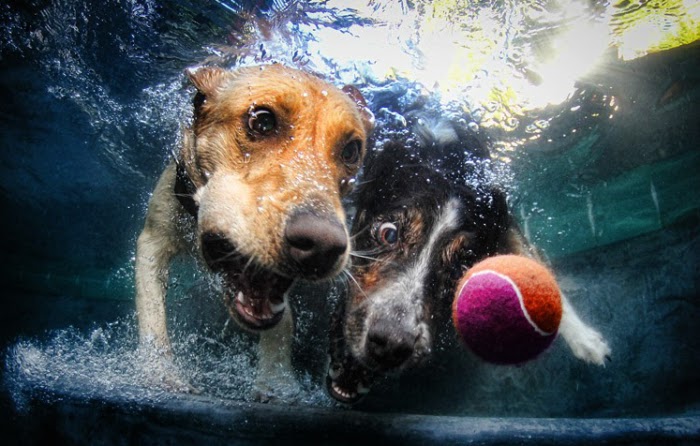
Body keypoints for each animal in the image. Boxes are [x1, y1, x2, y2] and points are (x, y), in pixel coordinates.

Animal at [134, 63, 373, 395]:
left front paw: (277, 382)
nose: (323, 247)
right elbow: (152, 314)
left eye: (351, 150)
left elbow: (283, 324)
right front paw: (159, 372)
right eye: (262, 122)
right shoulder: (153, 240)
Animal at [325, 114, 611, 404]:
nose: (391, 344)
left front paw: (585, 339)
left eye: (459, 268)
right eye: (389, 234)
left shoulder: (505, 227)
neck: (446, 164)